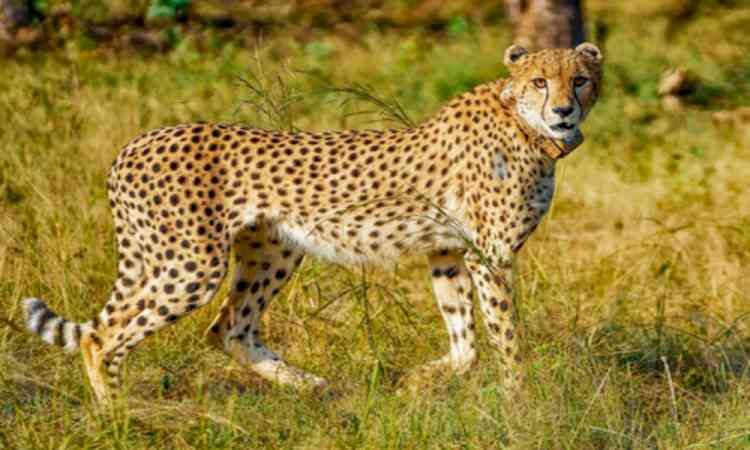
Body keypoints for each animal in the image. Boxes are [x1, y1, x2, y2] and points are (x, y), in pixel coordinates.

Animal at [23, 42, 603, 403]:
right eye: (539, 82)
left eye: (579, 80)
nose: (563, 111)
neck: (526, 127)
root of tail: (135, 143)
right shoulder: (489, 255)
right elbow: (507, 336)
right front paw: (521, 405)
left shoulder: (448, 251)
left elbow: (465, 341)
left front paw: (417, 383)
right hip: (191, 264)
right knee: (104, 338)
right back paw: (117, 414)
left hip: (273, 250)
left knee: (229, 328)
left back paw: (310, 384)